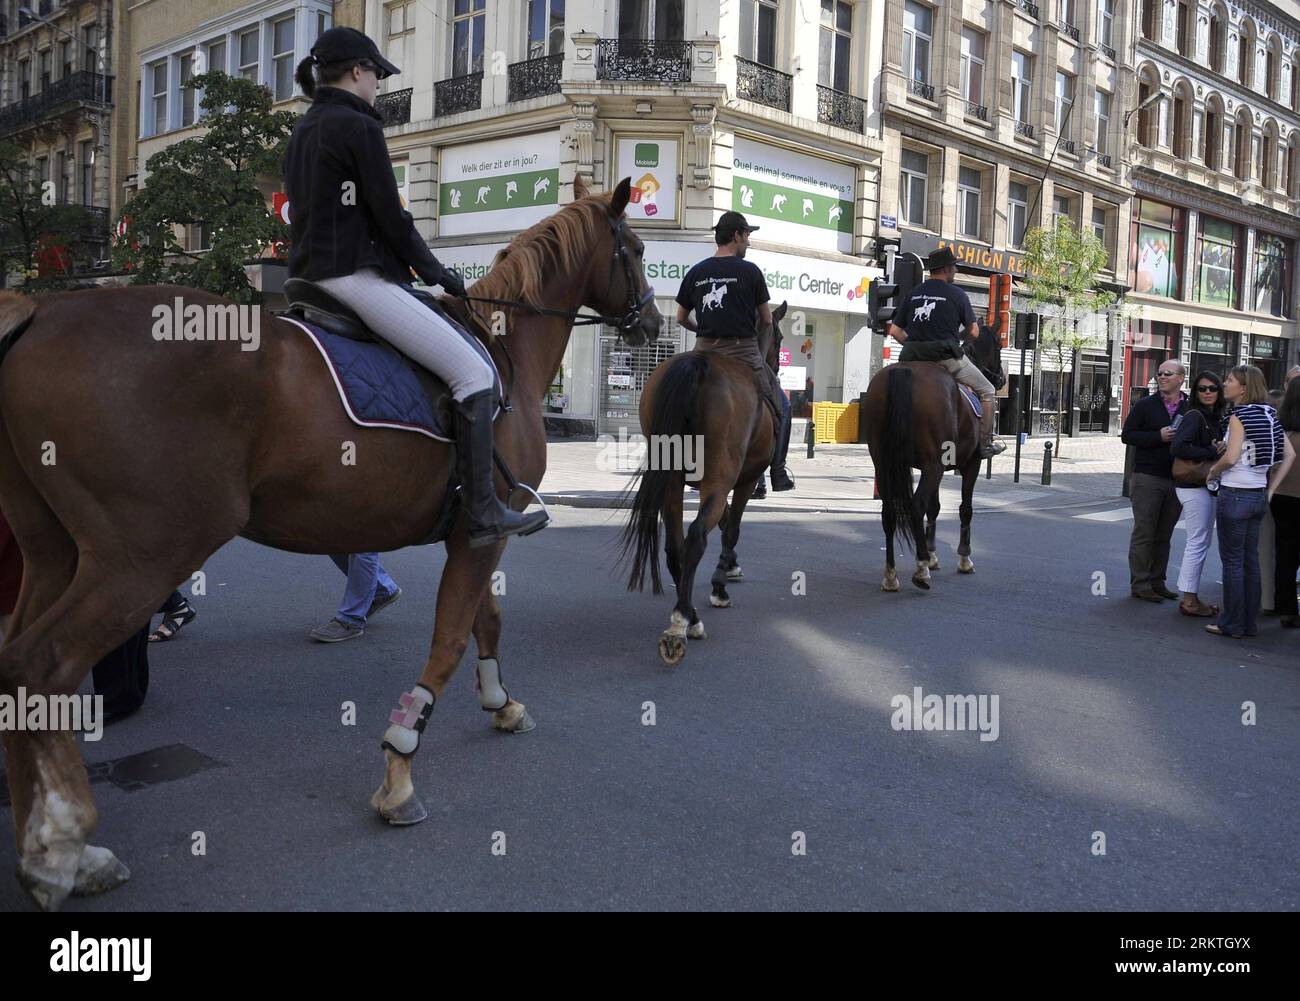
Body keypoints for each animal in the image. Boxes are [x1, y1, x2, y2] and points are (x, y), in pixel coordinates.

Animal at [0, 175, 655, 909]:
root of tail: (41, 314)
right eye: (634, 248)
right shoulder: (484, 532)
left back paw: (43, 846)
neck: (505, 360)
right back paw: (64, 844)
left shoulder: (474, 533)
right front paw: (400, 766)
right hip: (140, 557)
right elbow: (451, 638)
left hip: (53, 552)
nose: (655, 323)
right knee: (41, 665)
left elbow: (485, 618)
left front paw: (500, 701)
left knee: (14, 666)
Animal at [621, 300, 790, 665]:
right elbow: (731, 527)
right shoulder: (744, 479)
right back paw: (685, 623)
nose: (776, 365)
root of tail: (696, 366)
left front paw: (730, 568)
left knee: (675, 545)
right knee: (697, 536)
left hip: (672, 483)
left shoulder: (712, 486)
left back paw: (687, 613)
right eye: (781, 337)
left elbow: (723, 521)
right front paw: (720, 583)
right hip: (720, 477)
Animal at [863, 319, 1003, 587]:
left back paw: (891, 574)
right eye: (999, 346)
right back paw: (920, 569)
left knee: (889, 510)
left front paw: (933, 555)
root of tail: (903, 372)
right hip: (933, 466)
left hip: (886, 463)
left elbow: (935, 507)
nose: (1001, 379)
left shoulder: (937, 467)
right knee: (916, 505)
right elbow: (965, 508)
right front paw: (963, 559)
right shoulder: (970, 464)